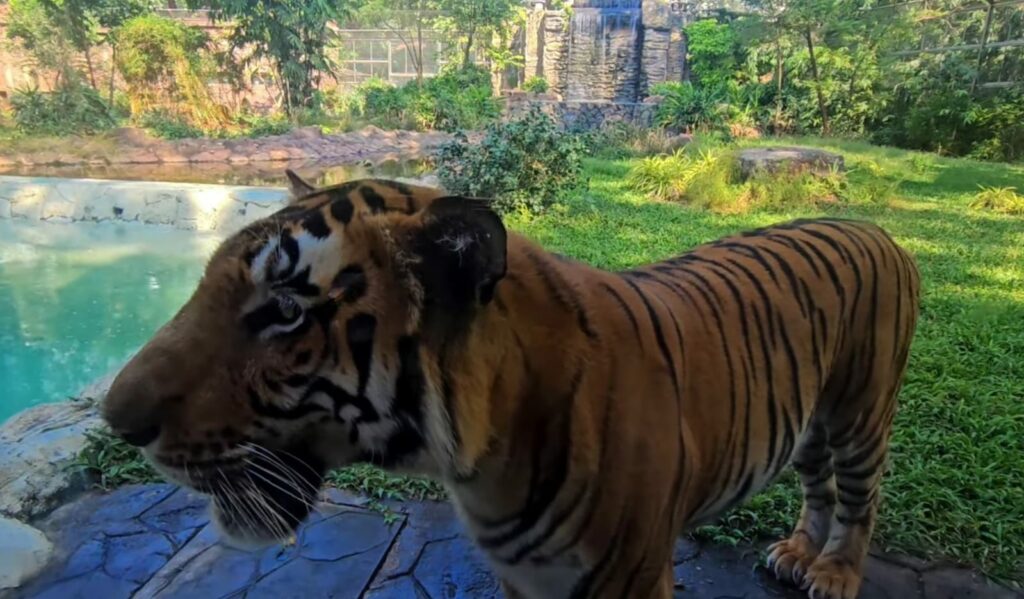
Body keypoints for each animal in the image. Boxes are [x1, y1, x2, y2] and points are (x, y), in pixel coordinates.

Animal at [101, 167, 921, 597]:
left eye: (285, 311)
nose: (114, 418)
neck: (479, 466)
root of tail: (877, 227)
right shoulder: (524, 579)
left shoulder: (628, 579)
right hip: (807, 420)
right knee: (817, 486)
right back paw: (797, 554)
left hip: (860, 412)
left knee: (862, 499)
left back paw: (834, 572)